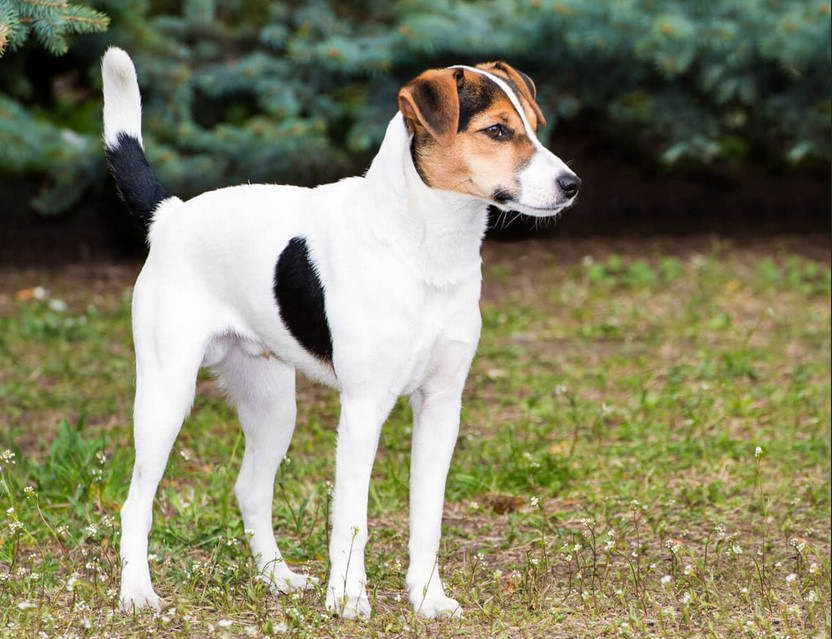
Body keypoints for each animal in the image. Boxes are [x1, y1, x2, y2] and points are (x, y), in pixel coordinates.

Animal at [104, 46, 580, 620]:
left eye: (534, 127)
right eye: (496, 130)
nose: (572, 184)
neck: (423, 249)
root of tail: (169, 216)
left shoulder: (442, 404)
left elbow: (428, 517)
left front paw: (426, 596)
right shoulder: (363, 408)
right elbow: (351, 517)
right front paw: (348, 597)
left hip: (272, 406)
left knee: (250, 489)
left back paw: (278, 577)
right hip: (166, 396)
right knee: (136, 503)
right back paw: (136, 591)